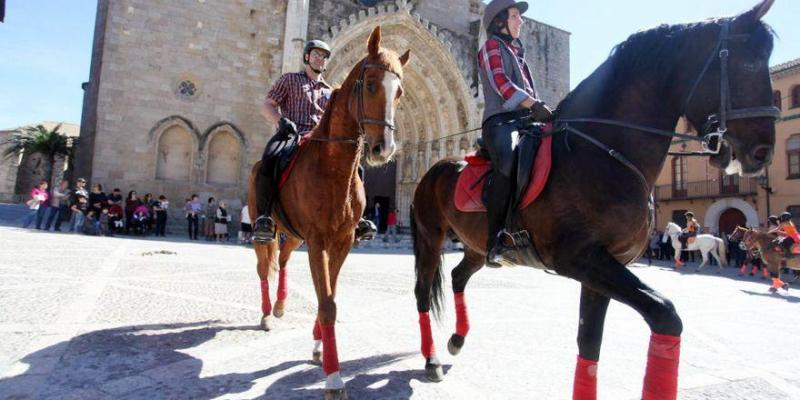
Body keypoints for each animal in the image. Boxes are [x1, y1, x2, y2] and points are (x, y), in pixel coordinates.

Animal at [245, 26, 410, 398]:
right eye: (370, 84)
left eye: (400, 92)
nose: (383, 149)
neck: (334, 168)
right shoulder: (319, 242)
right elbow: (328, 304)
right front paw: (334, 378)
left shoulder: (342, 242)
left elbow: (330, 297)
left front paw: (319, 345)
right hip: (266, 230)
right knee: (264, 269)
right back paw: (266, 314)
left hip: (293, 235)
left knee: (284, 262)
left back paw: (280, 306)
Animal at [410, 1, 780, 398]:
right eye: (749, 63)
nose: (762, 151)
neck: (600, 151)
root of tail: (436, 166)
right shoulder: (580, 259)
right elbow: (665, 314)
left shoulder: (603, 264)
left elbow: (589, 342)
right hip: (431, 237)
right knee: (422, 292)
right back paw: (431, 360)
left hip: (476, 245)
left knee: (458, 275)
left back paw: (457, 339)